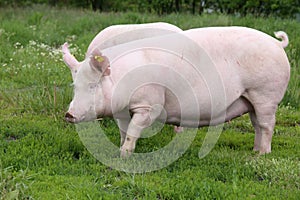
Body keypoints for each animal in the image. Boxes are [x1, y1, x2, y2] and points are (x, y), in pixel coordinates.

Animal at [63, 27, 290, 158]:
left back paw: (262, 154)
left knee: (266, 124)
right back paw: (255, 150)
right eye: (76, 86)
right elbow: (123, 131)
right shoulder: (122, 111)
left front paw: (125, 155)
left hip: (266, 94)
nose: (68, 114)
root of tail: (277, 43)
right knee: (256, 124)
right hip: (251, 99)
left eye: (93, 86)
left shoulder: (149, 105)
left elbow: (134, 130)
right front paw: (120, 150)